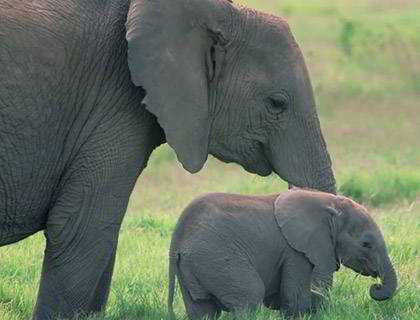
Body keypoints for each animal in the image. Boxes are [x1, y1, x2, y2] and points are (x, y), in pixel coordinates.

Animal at [167, 189, 398, 318]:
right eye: (366, 244)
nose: (376, 287)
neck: (330, 203)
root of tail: (177, 238)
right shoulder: (296, 251)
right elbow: (296, 298)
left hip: (195, 266)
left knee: (202, 310)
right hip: (216, 258)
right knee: (249, 297)